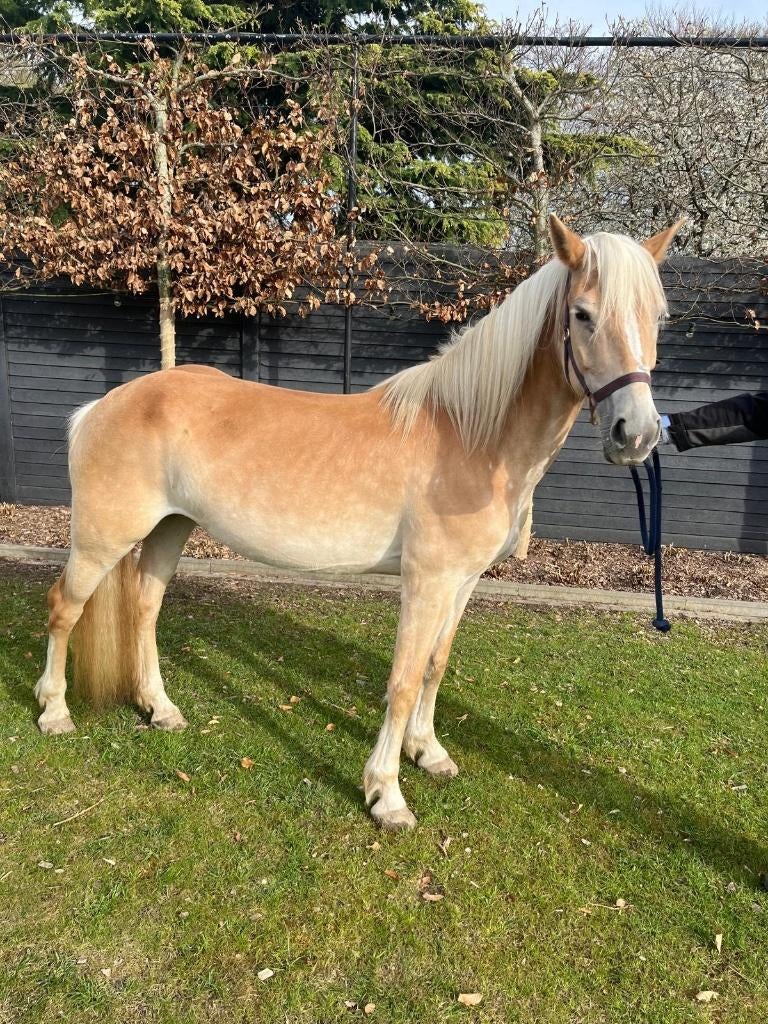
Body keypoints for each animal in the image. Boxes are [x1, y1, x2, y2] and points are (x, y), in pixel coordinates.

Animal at [34, 214, 682, 830]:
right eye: (582, 314)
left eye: (659, 317)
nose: (636, 433)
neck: (471, 435)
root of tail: (104, 404)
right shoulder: (426, 581)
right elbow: (403, 679)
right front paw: (386, 794)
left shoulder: (463, 582)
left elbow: (435, 666)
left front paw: (428, 753)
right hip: (102, 538)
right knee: (65, 608)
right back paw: (54, 711)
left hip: (171, 528)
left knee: (145, 607)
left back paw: (160, 708)